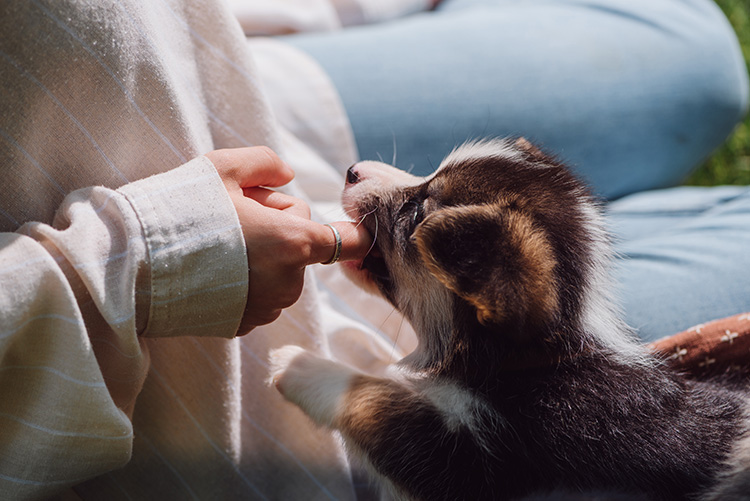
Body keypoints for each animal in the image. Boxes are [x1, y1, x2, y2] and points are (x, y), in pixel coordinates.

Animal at [270, 139, 750, 498]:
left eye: (415, 214)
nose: (352, 170)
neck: (522, 362)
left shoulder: (480, 460)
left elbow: (380, 401)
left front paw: (297, 363)